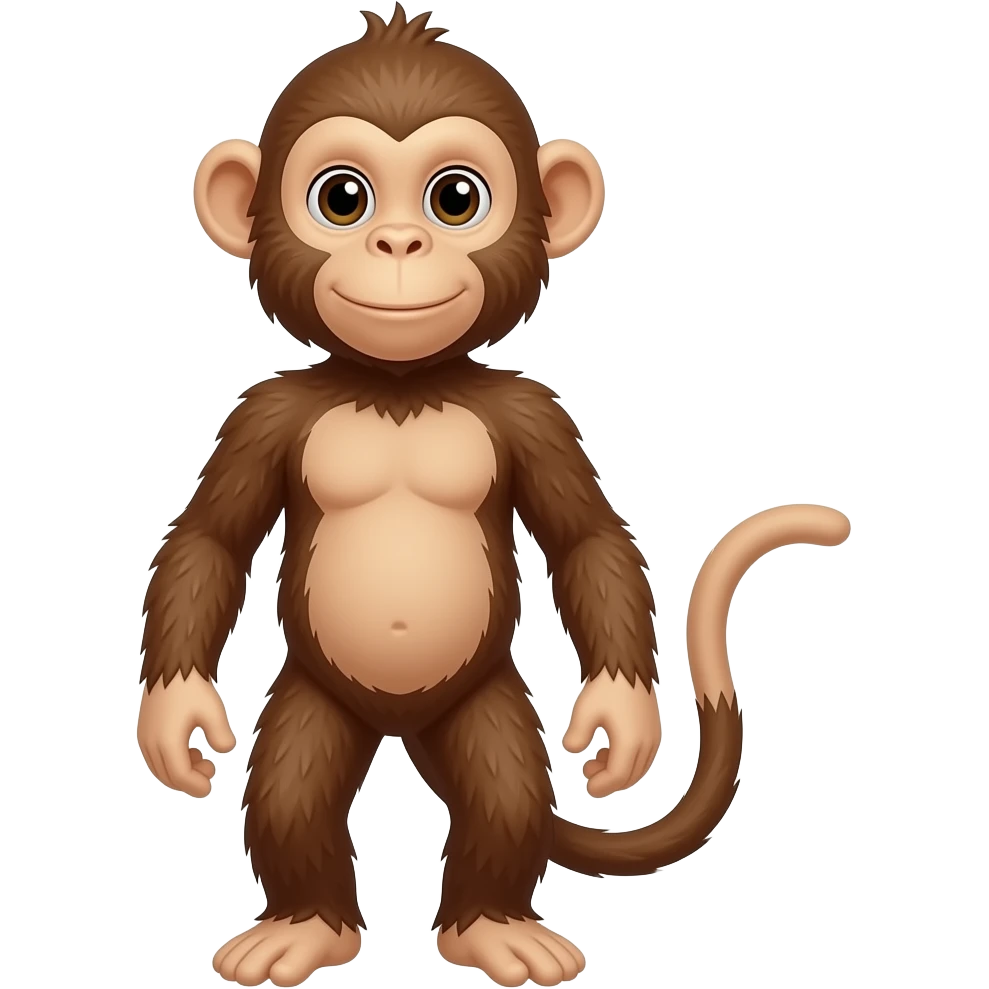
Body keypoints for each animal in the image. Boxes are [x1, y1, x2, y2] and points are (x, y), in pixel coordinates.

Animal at [138, 6, 853, 987]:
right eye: (342, 198)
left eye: (455, 199)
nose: (399, 245)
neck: (400, 388)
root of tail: (402, 724)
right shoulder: (260, 414)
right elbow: (209, 538)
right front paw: (177, 718)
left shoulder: (535, 413)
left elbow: (587, 538)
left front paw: (619, 718)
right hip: (318, 695)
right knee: (291, 786)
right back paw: (305, 925)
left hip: (480, 700)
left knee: (503, 787)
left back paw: (491, 926)